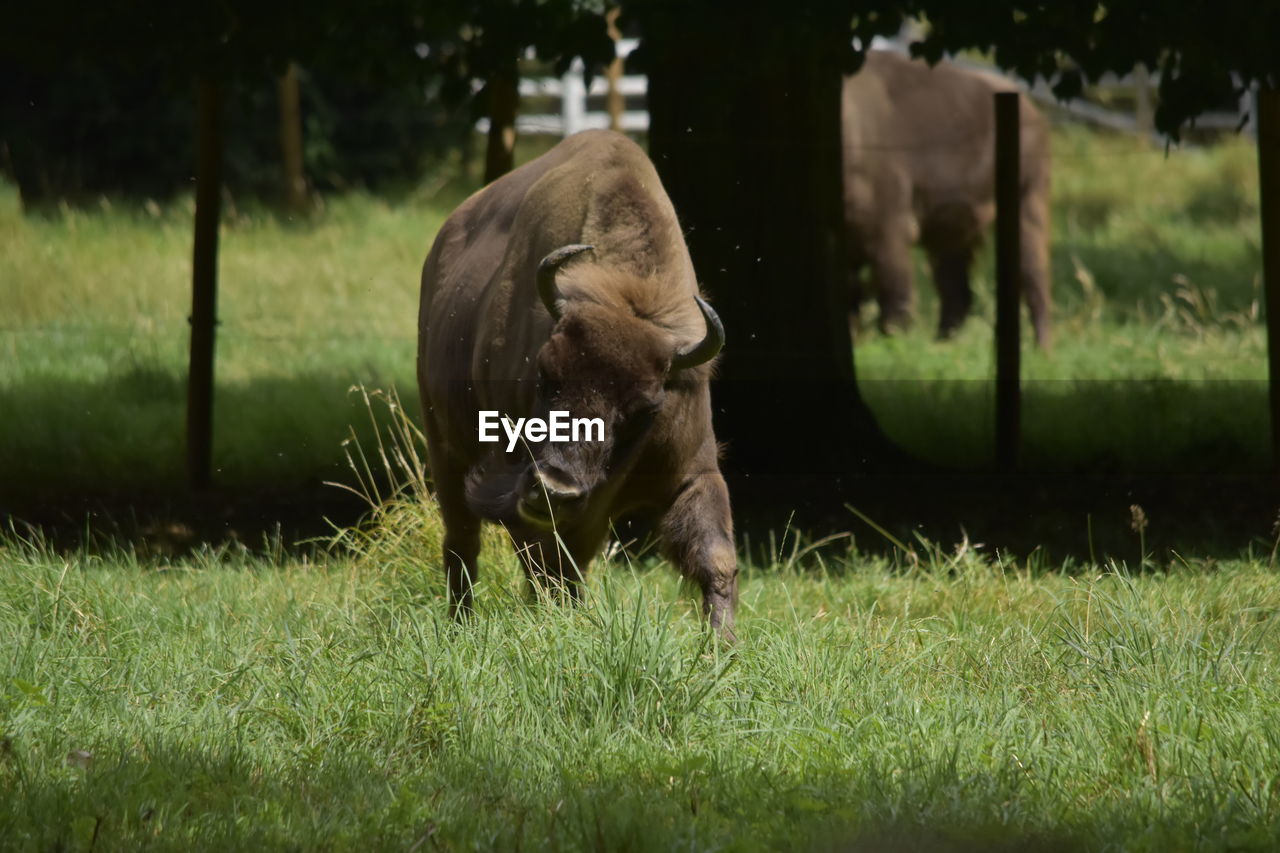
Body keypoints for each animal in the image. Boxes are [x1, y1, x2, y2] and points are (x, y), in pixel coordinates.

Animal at [419, 124, 742, 630]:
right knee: (462, 543)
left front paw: (723, 644)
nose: (556, 489)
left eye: (646, 408)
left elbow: (715, 558)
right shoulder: (516, 488)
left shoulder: (692, 469)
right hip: (445, 450)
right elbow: (545, 565)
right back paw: (460, 623)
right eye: (543, 373)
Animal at [839, 49, 1049, 348]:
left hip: (1028, 205)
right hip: (950, 236)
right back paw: (942, 343)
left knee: (1034, 281)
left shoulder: (888, 232)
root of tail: (1034, 114)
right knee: (957, 293)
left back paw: (1042, 349)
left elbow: (894, 296)